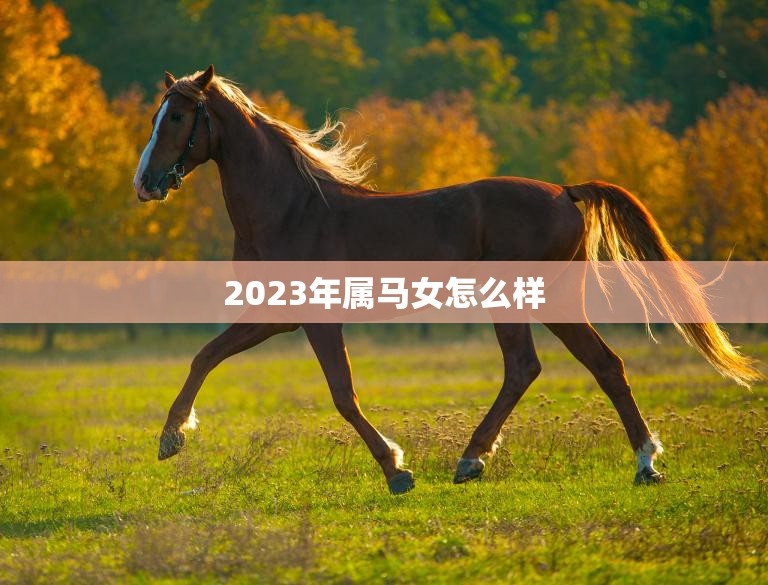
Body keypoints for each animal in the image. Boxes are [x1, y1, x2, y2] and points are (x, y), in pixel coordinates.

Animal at [133, 65, 760, 494]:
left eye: (179, 117)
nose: (144, 183)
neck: (291, 209)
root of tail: (565, 192)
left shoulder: (315, 319)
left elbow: (341, 394)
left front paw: (396, 470)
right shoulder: (275, 316)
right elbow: (206, 356)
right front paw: (172, 437)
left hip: (526, 302)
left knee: (543, 367)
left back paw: (491, 459)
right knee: (588, 365)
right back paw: (627, 461)